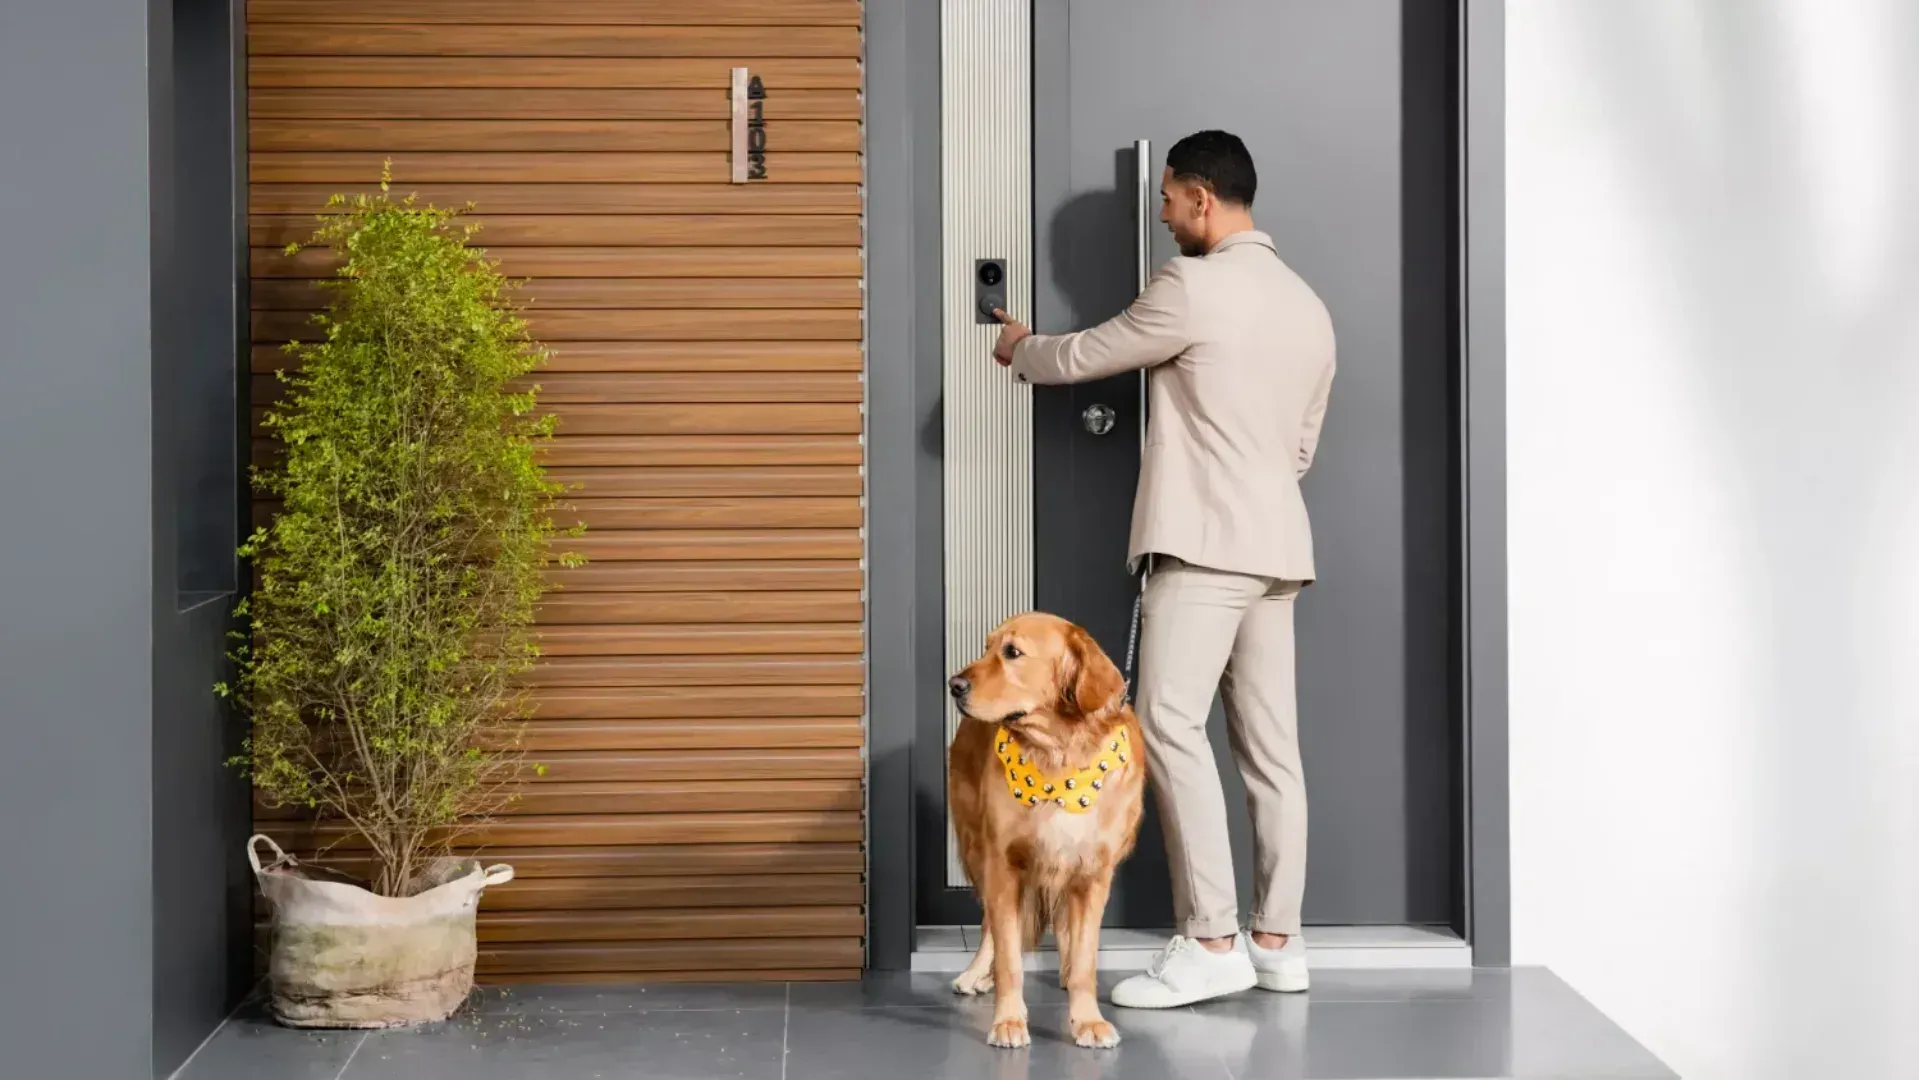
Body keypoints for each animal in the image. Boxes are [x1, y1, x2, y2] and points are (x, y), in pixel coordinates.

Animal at [944, 617, 1136, 1051]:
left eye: (1012, 652)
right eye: (987, 647)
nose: (954, 684)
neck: (1057, 760)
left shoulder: (1093, 873)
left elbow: (1085, 958)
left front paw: (1088, 1020)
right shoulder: (1004, 865)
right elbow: (1009, 957)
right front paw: (1009, 1021)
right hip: (976, 848)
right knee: (990, 927)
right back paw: (976, 972)